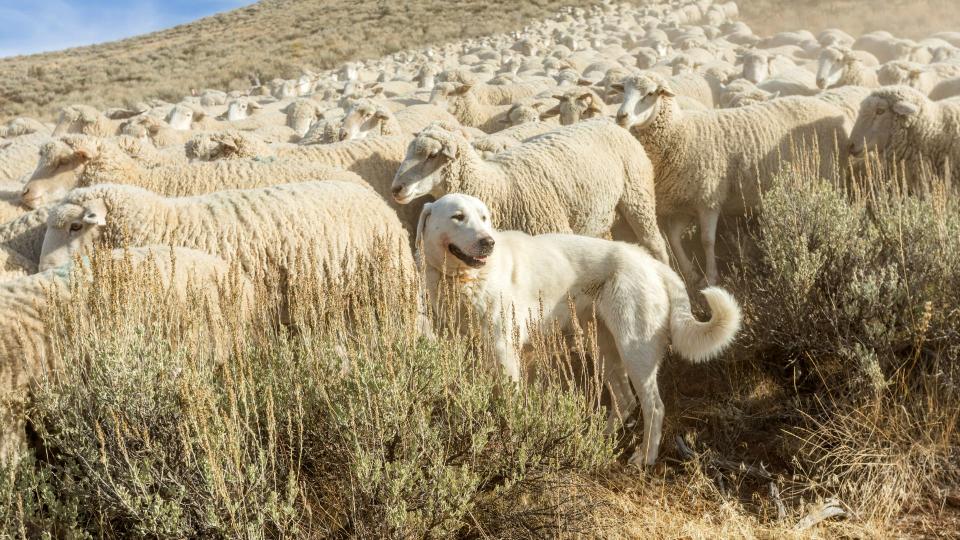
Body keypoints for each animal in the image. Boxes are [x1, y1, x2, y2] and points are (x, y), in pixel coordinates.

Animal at [390, 119, 668, 262]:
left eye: (432, 155)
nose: (396, 188)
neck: (498, 187)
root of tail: (610, 123)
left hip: (638, 196)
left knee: (655, 243)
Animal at [414, 194, 744, 464]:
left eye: (484, 218)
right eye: (458, 216)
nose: (488, 242)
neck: (463, 280)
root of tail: (653, 263)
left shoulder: (503, 351)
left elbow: (508, 403)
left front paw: (506, 439)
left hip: (635, 350)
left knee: (653, 406)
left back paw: (644, 458)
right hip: (604, 348)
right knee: (625, 400)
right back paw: (597, 437)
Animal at [616, 73, 848, 284]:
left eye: (650, 94)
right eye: (624, 90)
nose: (621, 116)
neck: (681, 132)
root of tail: (830, 108)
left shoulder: (709, 199)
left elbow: (707, 240)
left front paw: (711, 277)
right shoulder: (687, 201)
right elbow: (673, 237)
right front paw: (690, 273)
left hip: (828, 179)